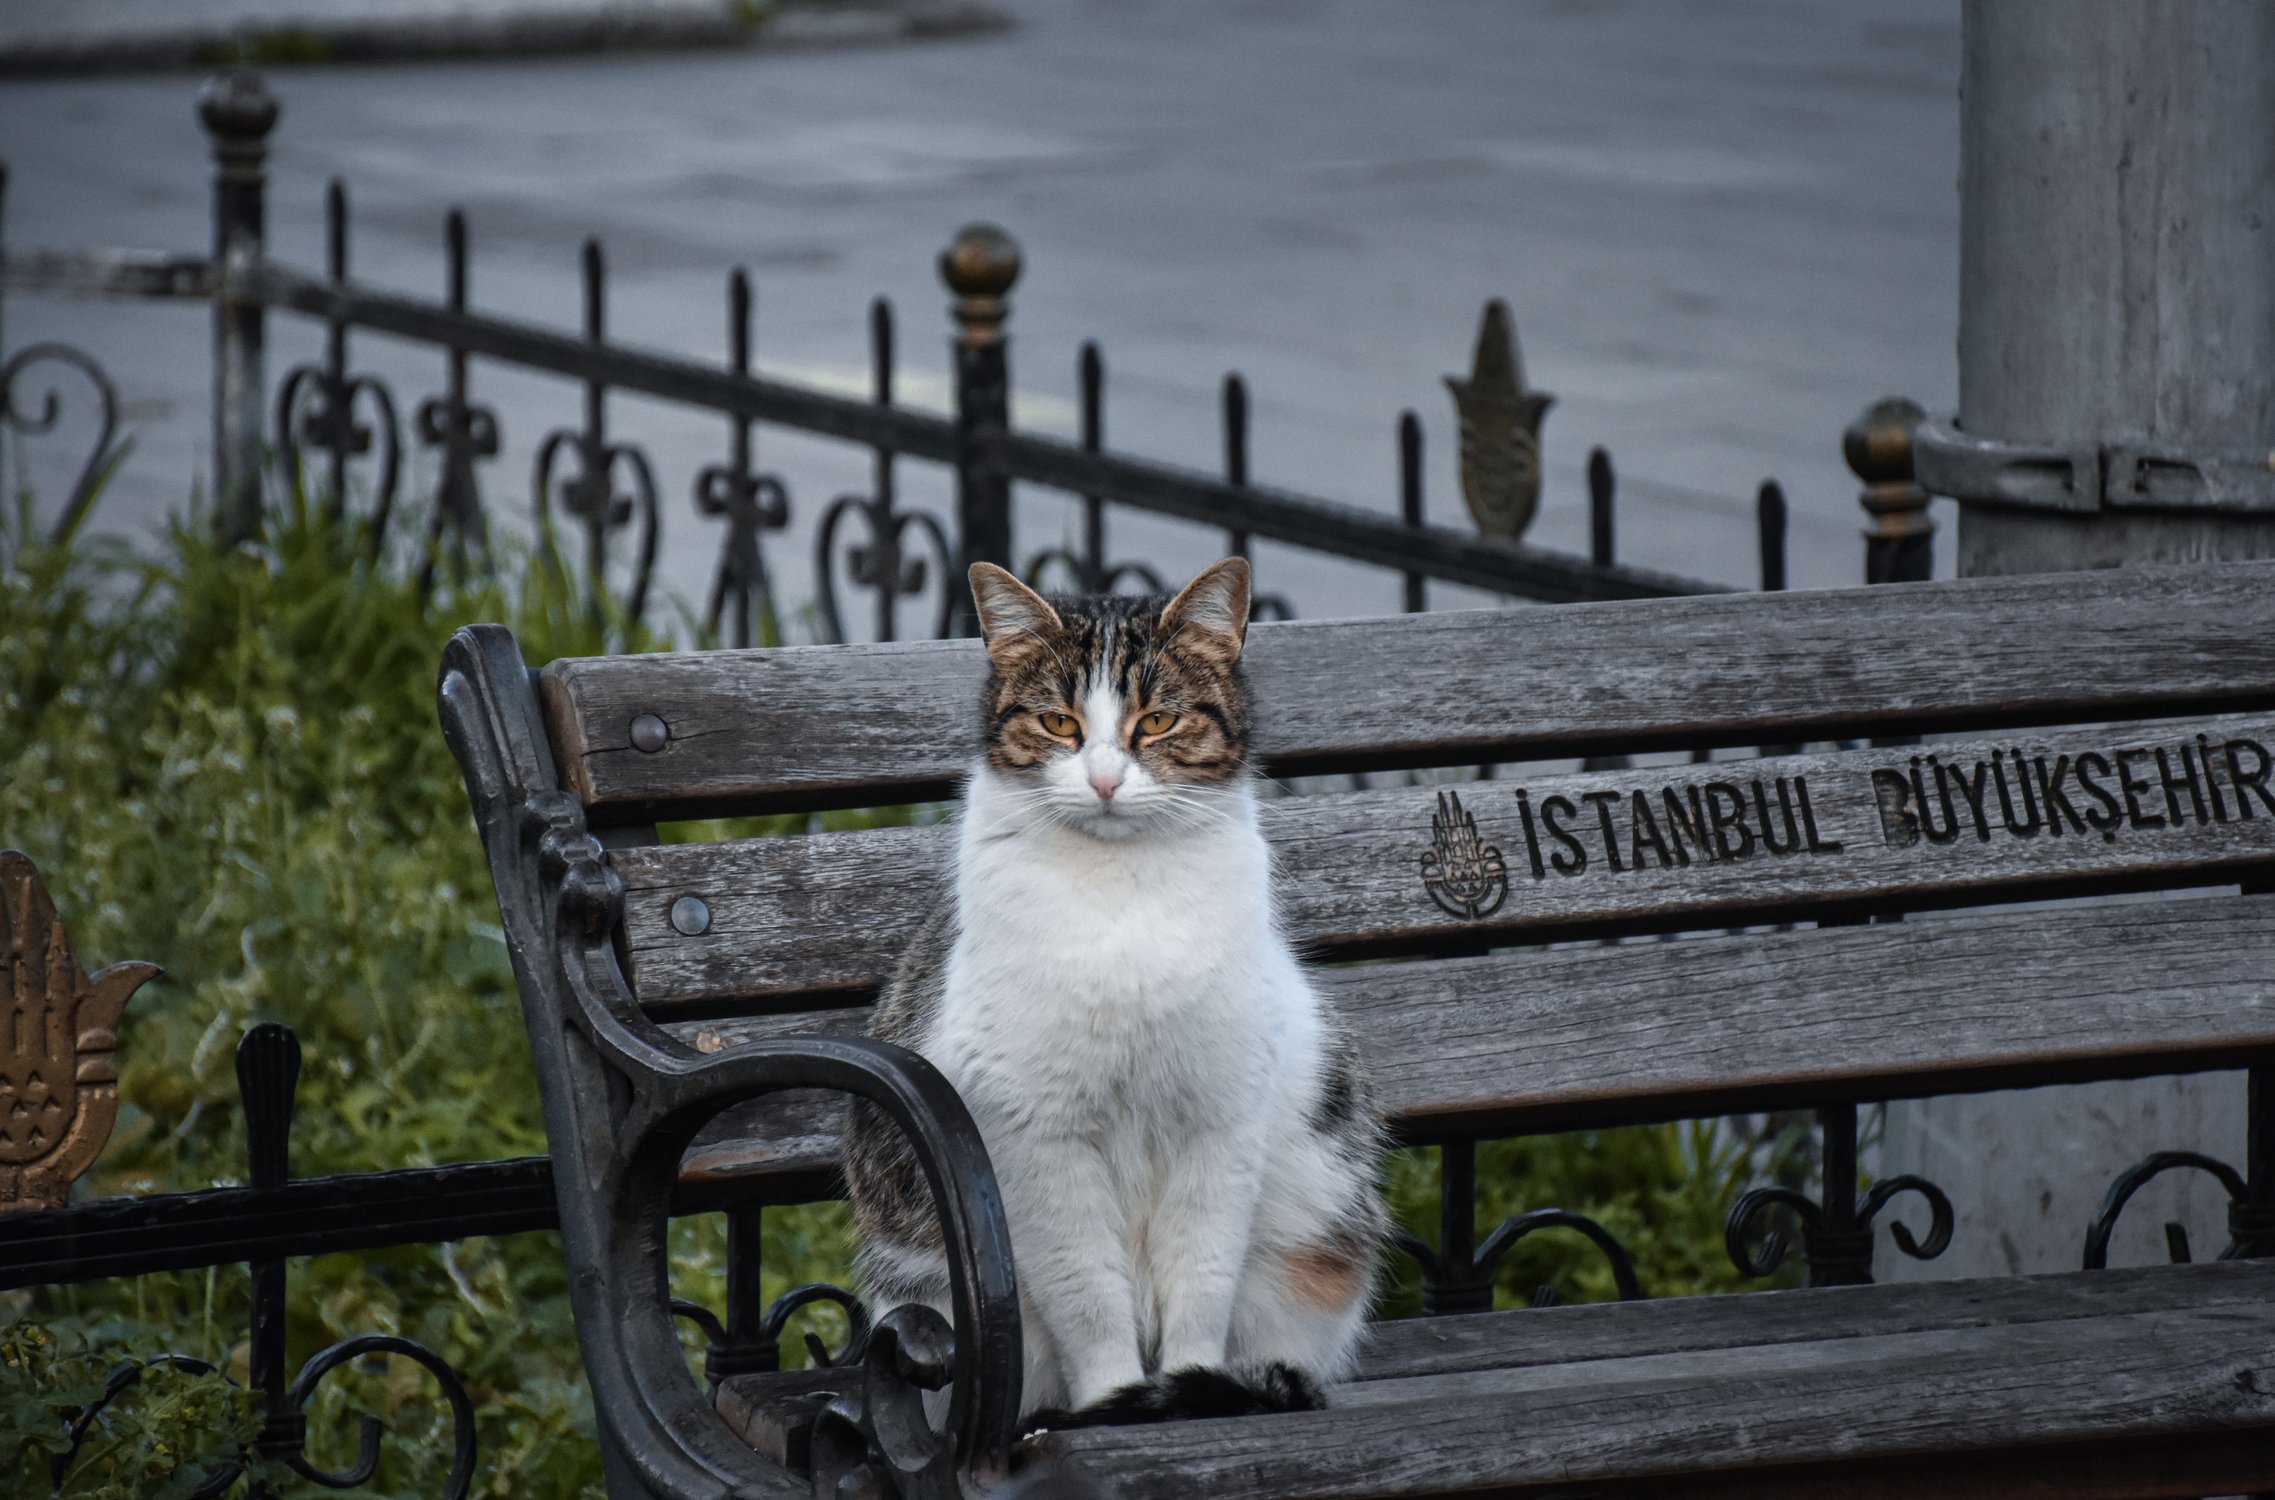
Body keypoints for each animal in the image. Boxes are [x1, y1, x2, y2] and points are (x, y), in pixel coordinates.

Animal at [846, 557, 1383, 1429]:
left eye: (1157, 720)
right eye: (1058, 722)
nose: (1102, 779)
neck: (1121, 894)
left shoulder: (1219, 1124)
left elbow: (1200, 1279)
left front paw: (1188, 1383)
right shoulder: (1037, 1137)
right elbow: (1088, 1295)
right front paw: (1116, 1399)